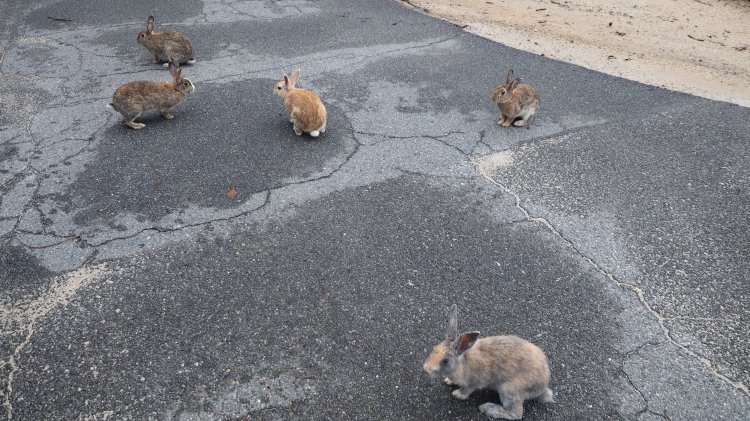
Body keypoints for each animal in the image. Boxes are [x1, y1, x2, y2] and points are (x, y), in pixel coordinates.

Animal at [423, 304, 553, 420]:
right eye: (433, 348)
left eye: (445, 360)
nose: (426, 368)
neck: (461, 363)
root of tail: (543, 387)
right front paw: (448, 381)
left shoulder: (472, 383)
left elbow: (465, 391)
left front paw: (457, 394)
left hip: (509, 390)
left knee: (516, 414)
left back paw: (488, 409)